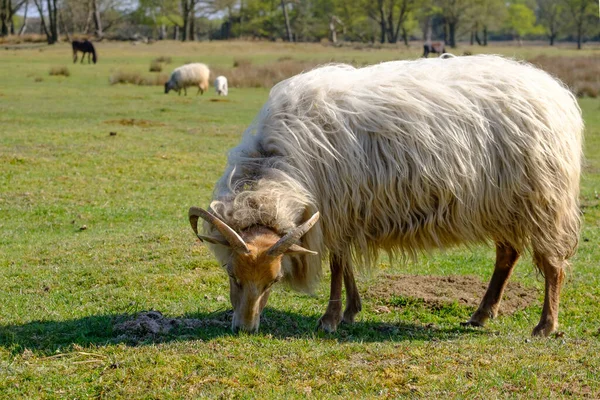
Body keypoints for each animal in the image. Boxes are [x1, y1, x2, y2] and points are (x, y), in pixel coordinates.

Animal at [190, 55, 584, 338]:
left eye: (274, 281)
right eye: (232, 274)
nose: (245, 329)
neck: (278, 165)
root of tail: (555, 93)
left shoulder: (337, 208)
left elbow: (337, 265)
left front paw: (330, 318)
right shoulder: (344, 212)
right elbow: (345, 262)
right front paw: (351, 310)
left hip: (543, 201)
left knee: (552, 266)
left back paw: (545, 326)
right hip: (504, 204)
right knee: (507, 255)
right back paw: (481, 314)